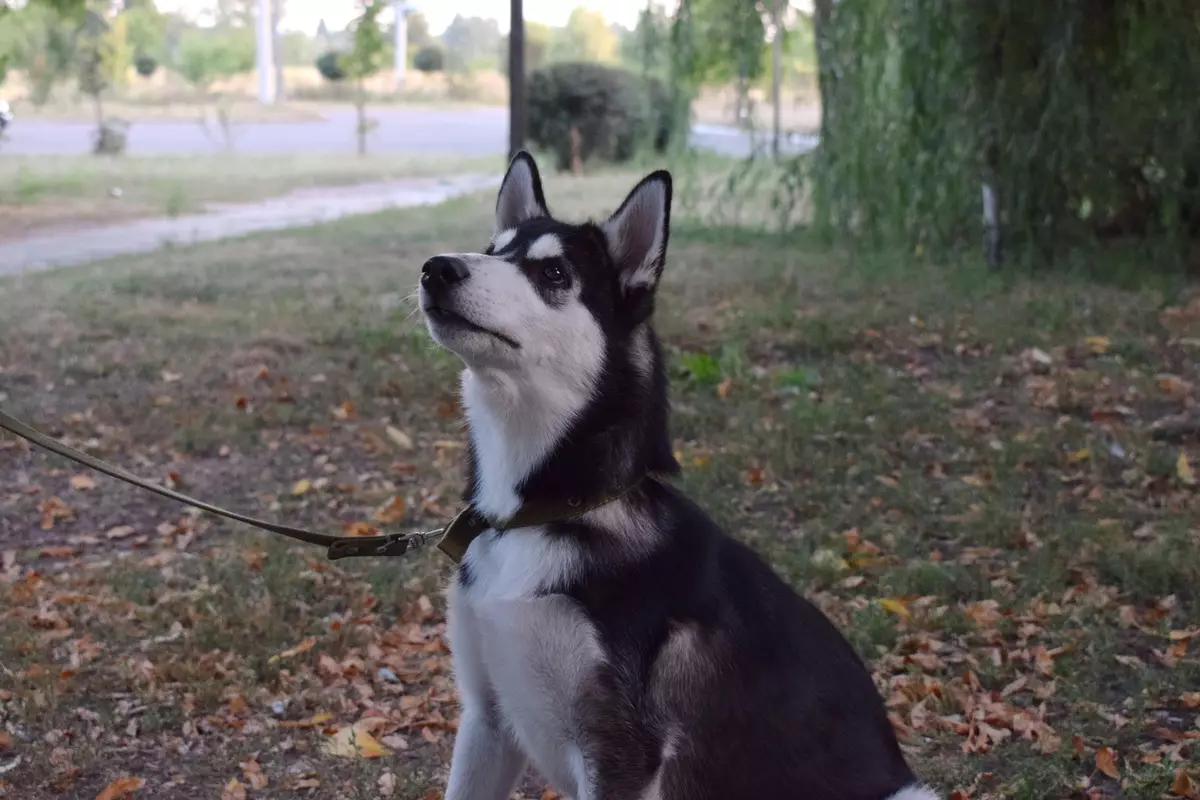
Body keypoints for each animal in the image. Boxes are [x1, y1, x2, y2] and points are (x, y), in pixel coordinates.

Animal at [417, 151, 940, 800]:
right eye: (493, 249)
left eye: (554, 273)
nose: (436, 269)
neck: (542, 512)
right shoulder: (486, 719)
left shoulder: (619, 755)